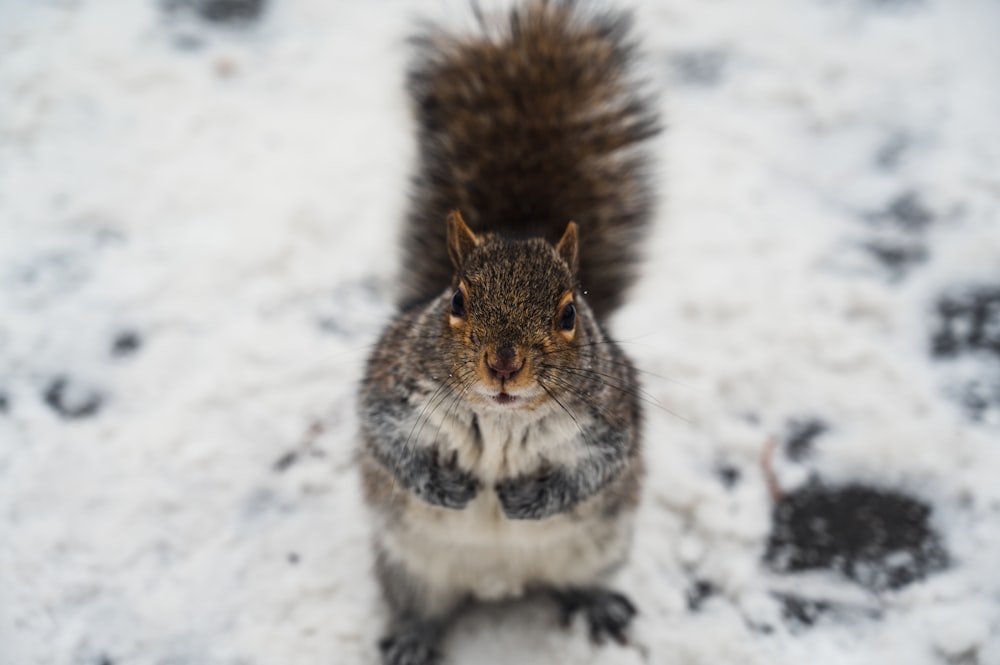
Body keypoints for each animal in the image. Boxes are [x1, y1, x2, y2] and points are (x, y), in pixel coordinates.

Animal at [358, 2, 656, 660]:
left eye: (569, 314)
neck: (499, 418)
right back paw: (413, 636)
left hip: (601, 548)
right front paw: (444, 487)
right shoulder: (391, 386)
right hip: (406, 570)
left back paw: (596, 604)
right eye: (457, 300)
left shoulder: (611, 415)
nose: (503, 364)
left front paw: (529, 499)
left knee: (580, 580)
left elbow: (598, 468)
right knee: (417, 605)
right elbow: (387, 441)